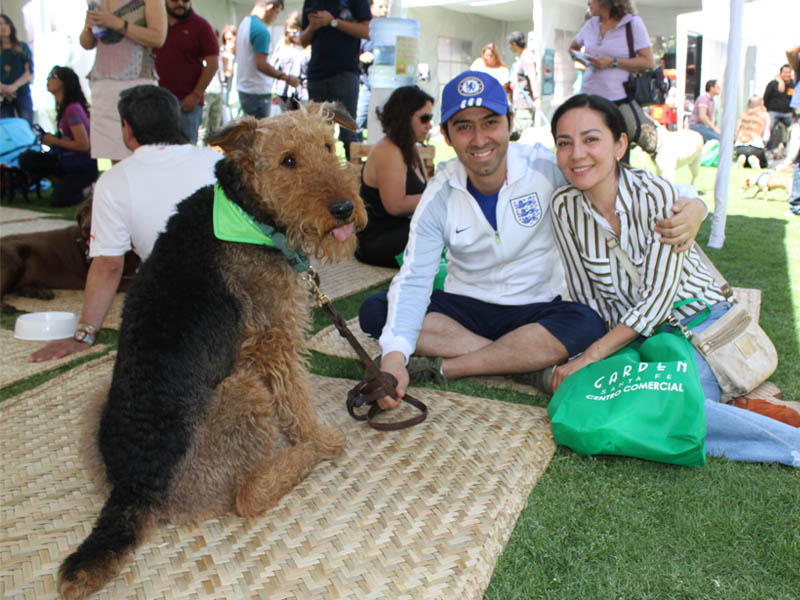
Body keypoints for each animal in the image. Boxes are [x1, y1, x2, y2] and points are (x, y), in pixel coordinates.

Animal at [57, 105, 368, 596]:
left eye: (327, 144)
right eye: (287, 161)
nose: (343, 209)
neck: (247, 211)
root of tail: (137, 488)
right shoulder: (275, 338)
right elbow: (297, 405)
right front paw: (318, 438)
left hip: (98, 401)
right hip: (245, 393)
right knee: (247, 496)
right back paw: (304, 457)